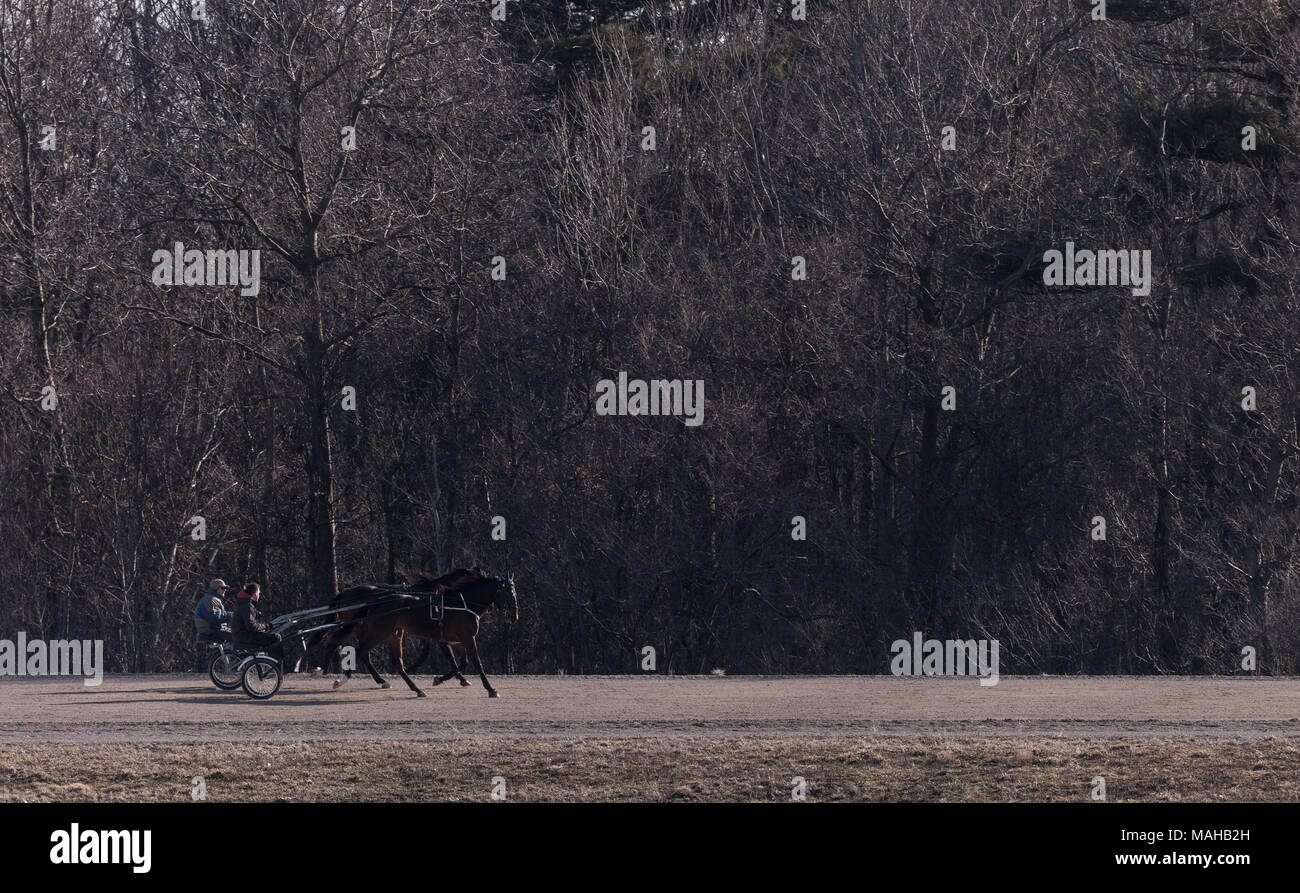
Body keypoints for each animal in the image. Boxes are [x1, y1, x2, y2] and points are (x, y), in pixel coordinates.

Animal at [309, 569, 517, 701]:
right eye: (510, 593)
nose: (515, 616)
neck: (459, 602)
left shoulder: (454, 638)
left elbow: (462, 660)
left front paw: (446, 678)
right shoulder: (464, 637)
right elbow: (475, 662)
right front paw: (491, 689)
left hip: (392, 633)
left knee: (393, 661)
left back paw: (414, 688)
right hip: (377, 630)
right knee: (360, 650)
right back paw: (340, 678)